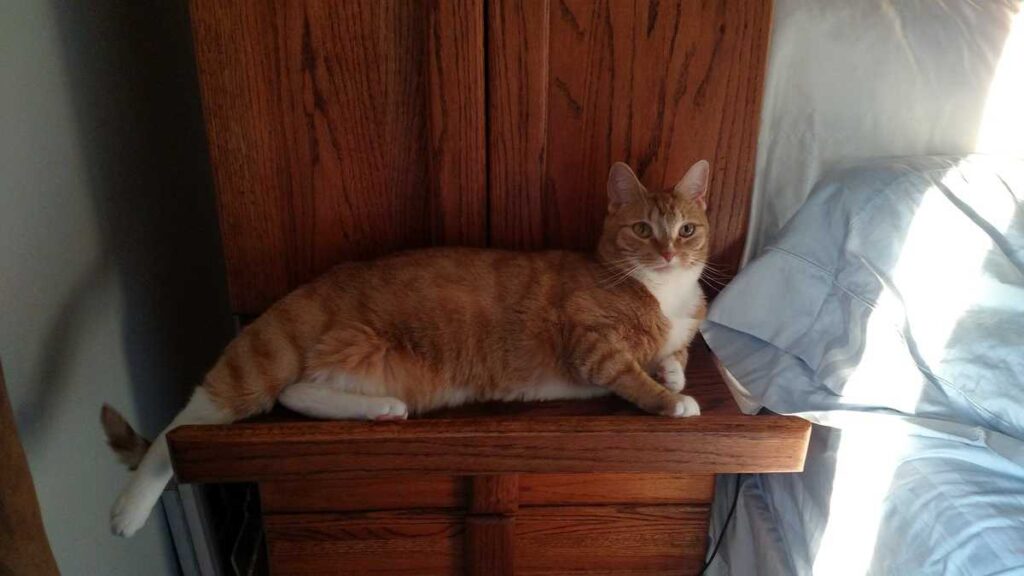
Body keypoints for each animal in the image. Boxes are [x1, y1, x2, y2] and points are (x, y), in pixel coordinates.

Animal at [105, 157, 712, 532]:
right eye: (642, 230)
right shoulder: (593, 346)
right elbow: (632, 375)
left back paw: (381, 410)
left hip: (396, 376)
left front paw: (675, 373)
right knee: (189, 423)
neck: (661, 291)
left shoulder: (678, 331)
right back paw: (128, 510)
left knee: (296, 393)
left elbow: (678, 353)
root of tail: (326, 281)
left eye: (687, 230)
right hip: (265, 357)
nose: (667, 253)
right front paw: (673, 399)